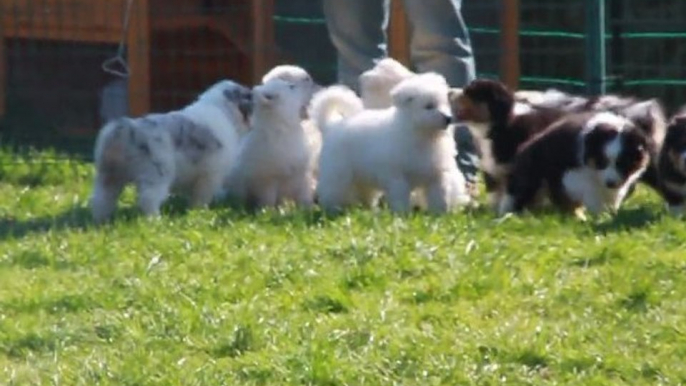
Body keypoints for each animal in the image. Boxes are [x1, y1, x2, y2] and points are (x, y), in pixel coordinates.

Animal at [90, 80, 253, 222]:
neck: (222, 110)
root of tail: (125, 130)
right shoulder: (210, 176)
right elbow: (201, 197)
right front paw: (200, 211)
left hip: (109, 175)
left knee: (101, 198)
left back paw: (101, 219)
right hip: (156, 173)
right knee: (148, 198)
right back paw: (155, 220)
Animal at [226, 78, 314, 210]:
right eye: (291, 87)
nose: (307, 81)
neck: (280, 130)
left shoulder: (295, 175)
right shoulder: (267, 180)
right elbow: (268, 200)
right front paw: (268, 212)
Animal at [310, 73, 468, 213]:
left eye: (444, 104)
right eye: (428, 106)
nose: (448, 118)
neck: (423, 135)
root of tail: (332, 125)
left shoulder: (436, 176)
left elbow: (439, 197)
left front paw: (440, 214)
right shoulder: (397, 177)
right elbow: (400, 196)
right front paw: (402, 214)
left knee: (365, 193)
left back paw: (370, 210)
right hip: (337, 172)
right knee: (333, 191)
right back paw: (333, 210)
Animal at [448, 79, 568, 208]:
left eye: (470, 92)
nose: (449, 92)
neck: (497, 128)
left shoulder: (516, 170)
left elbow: (509, 196)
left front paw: (505, 211)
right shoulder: (489, 168)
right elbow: (494, 193)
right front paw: (491, 210)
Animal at [500, 111, 652, 217]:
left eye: (623, 163)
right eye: (602, 162)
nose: (610, 183)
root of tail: (525, 145)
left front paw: (610, 211)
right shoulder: (572, 174)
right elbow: (590, 190)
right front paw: (600, 212)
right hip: (532, 178)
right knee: (517, 197)